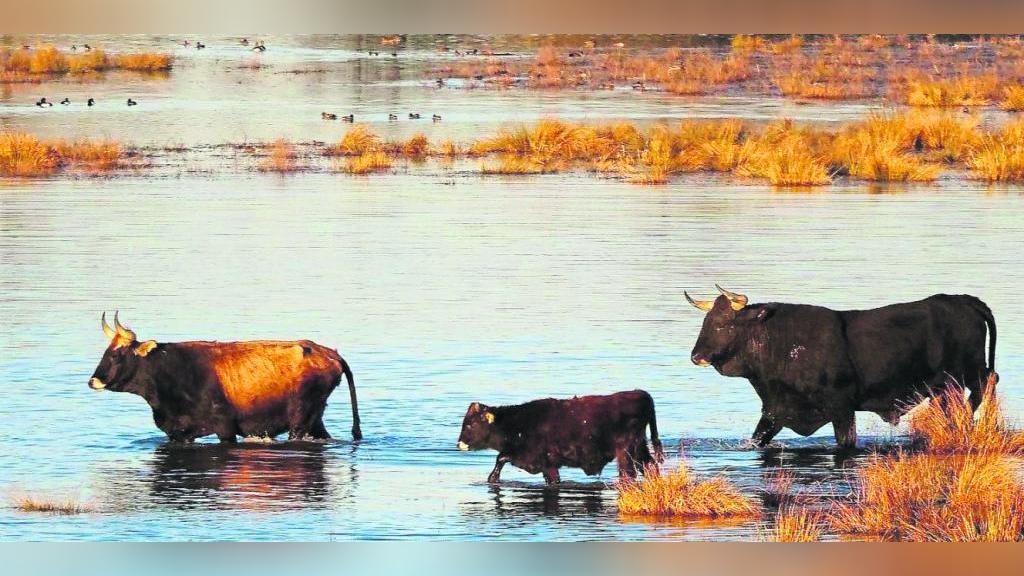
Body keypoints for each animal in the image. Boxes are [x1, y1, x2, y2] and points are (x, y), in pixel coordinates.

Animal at [88, 312, 362, 443]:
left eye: (118, 354)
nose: (93, 380)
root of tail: (327, 352)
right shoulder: (178, 433)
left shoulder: (225, 428)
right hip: (315, 419)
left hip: (300, 421)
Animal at [456, 390, 664, 485]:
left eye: (470, 424)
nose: (459, 444)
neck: (518, 423)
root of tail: (639, 393)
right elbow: (501, 458)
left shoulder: (541, 461)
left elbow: (501, 457)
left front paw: (492, 477)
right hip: (640, 448)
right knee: (650, 466)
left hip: (626, 452)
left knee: (629, 474)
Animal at [685, 285, 997, 449]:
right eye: (706, 321)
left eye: (724, 324)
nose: (696, 356)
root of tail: (962, 300)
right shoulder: (775, 411)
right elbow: (756, 439)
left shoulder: (842, 408)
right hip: (944, 389)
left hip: (966, 373)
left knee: (987, 383)